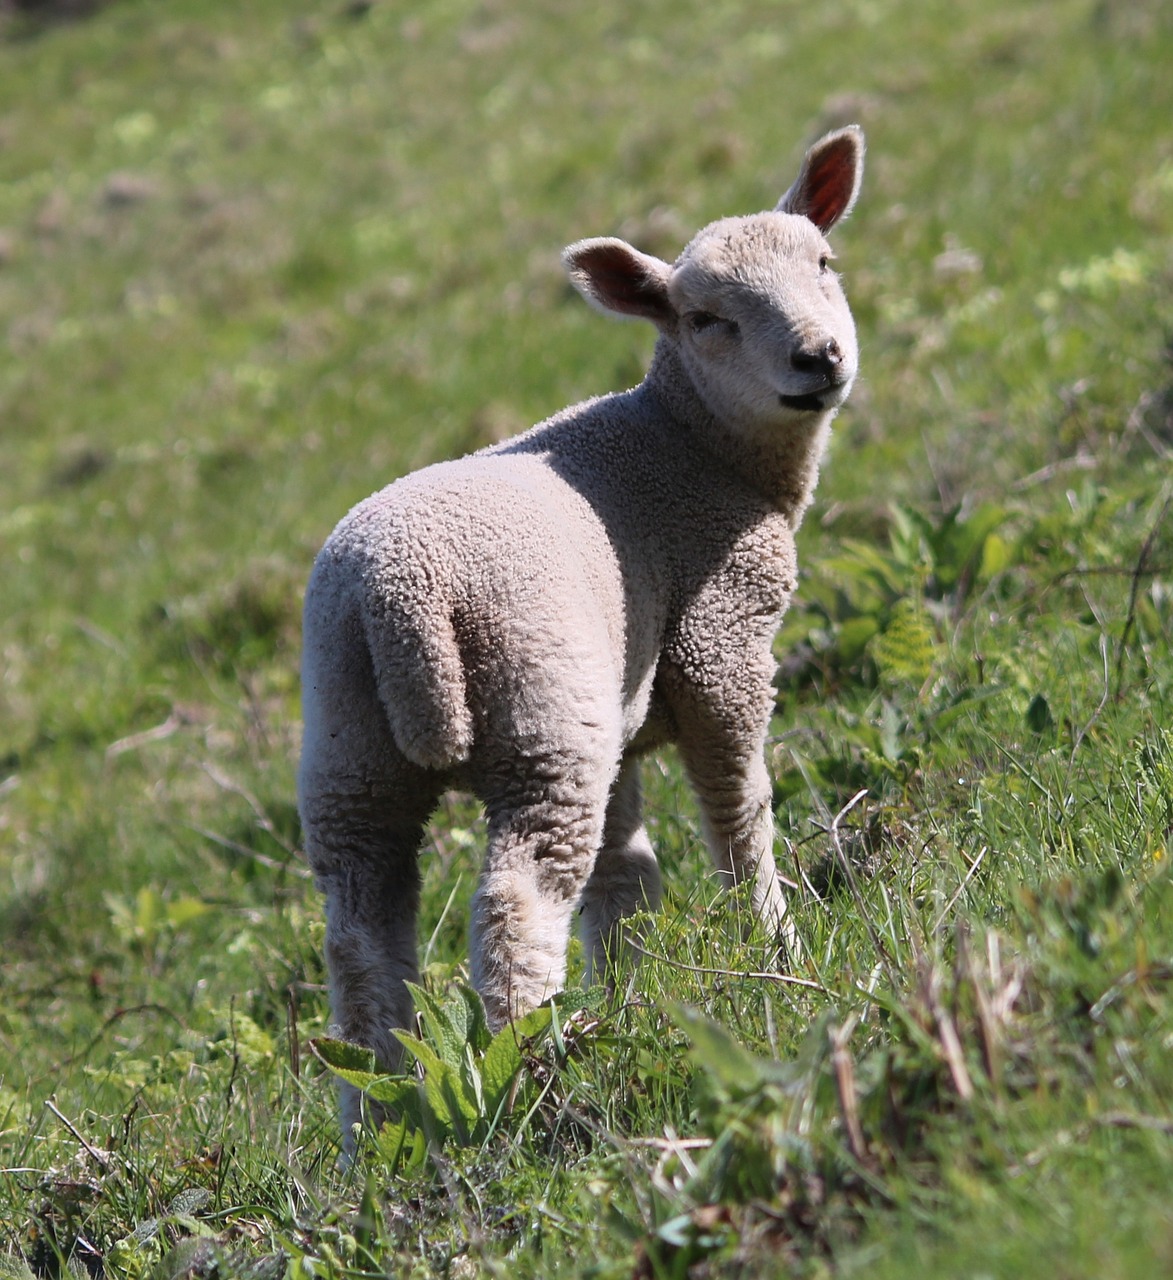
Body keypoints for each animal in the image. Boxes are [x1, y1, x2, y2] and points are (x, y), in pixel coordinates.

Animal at [298, 122, 865, 1141]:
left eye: (824, 263)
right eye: (704, 319)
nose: (818, 357)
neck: (689, 443)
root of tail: (396, 597)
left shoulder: (624, 715)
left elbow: (624, 878)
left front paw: (633, 997)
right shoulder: (720, 645)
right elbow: (738, 814)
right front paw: (776, 951)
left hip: (353, 753)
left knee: (361, 940)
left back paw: (378, 1124)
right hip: (542, 719)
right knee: (515, 905)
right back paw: (528, 1083)